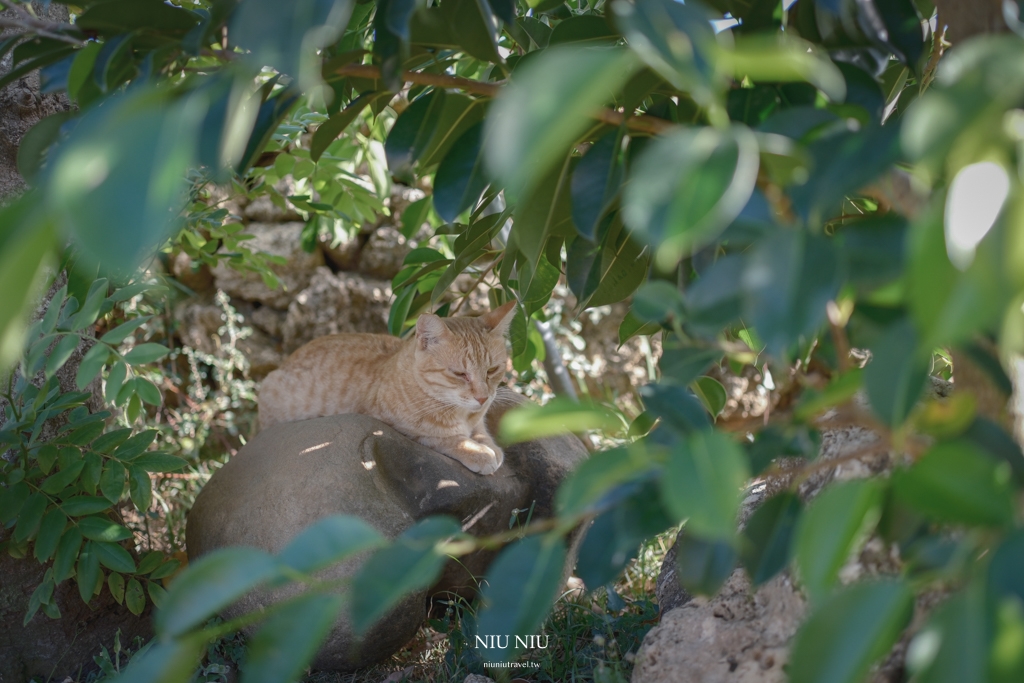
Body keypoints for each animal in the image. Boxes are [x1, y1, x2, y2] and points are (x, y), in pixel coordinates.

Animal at [252, 301, 516, 473]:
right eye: (459, 374)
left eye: (492, 370)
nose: (483, 398)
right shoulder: (400, 426)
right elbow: (448, 438)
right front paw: (479, 452)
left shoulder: (477, 419)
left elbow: (481, 431)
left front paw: (490, 446)